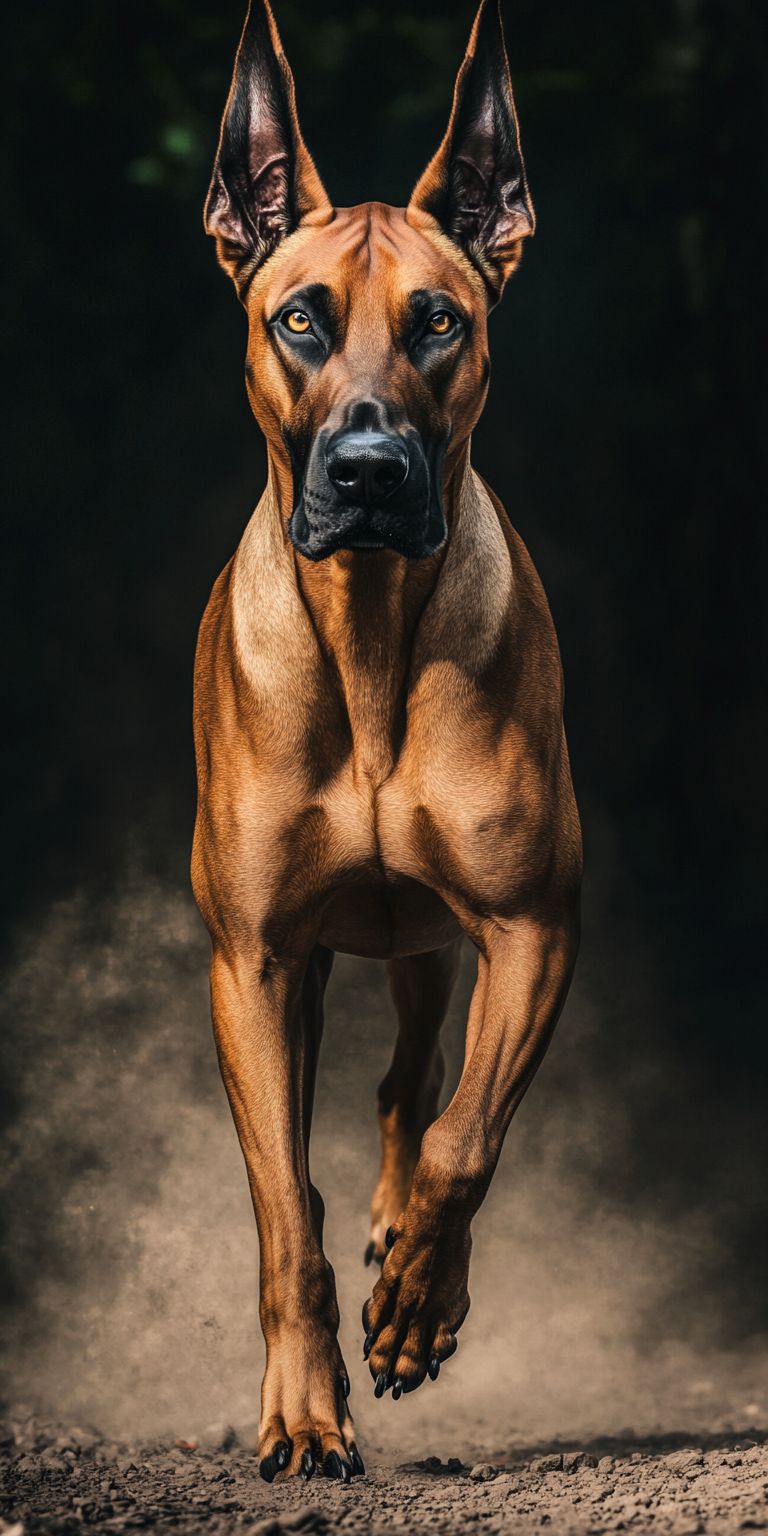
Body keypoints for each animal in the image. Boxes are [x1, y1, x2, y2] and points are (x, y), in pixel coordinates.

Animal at [192, 0, 580, 1486]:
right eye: (300, 318)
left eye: (439, 322)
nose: (367, 472)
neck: (366, 638)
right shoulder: (251, 961)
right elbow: (278, 1217)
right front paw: (306, 1411)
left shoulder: (532, 927)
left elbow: (467, 1139)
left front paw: (417, 1299)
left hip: (428, 948)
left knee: (415, 1086)